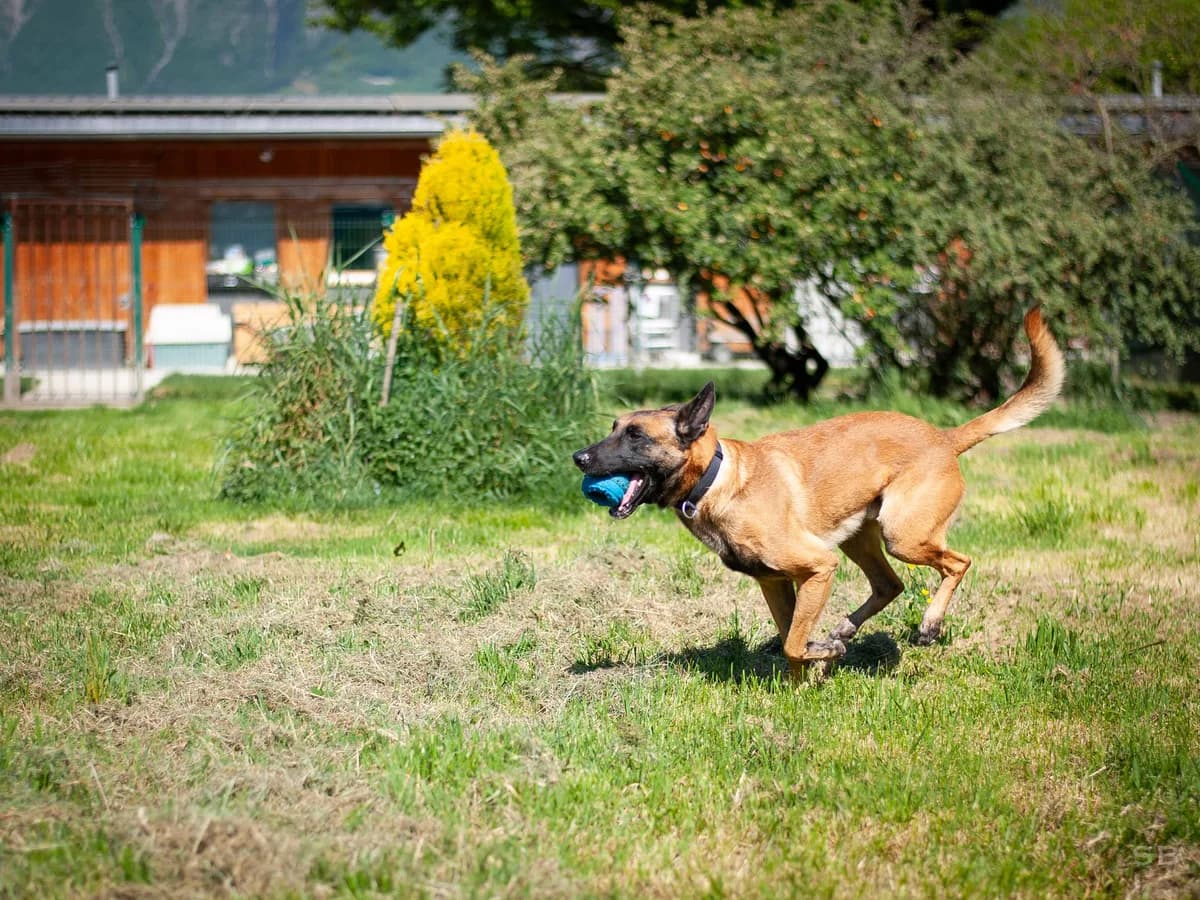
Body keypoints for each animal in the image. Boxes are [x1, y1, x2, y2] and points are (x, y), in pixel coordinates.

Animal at [573, 308, 1064, 677]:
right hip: (859, 538)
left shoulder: (818, 567)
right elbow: (791, 636)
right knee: (890, 585)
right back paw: (843, 631)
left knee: (958, 563)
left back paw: (928, 624)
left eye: (636, 436)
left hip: (902, 534)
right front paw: (802, 684)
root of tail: (944, 437)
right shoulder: (776, 582)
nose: (578, 457)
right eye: (613, 427)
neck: (717, 479)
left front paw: (819, 659)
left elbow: (793, 642)